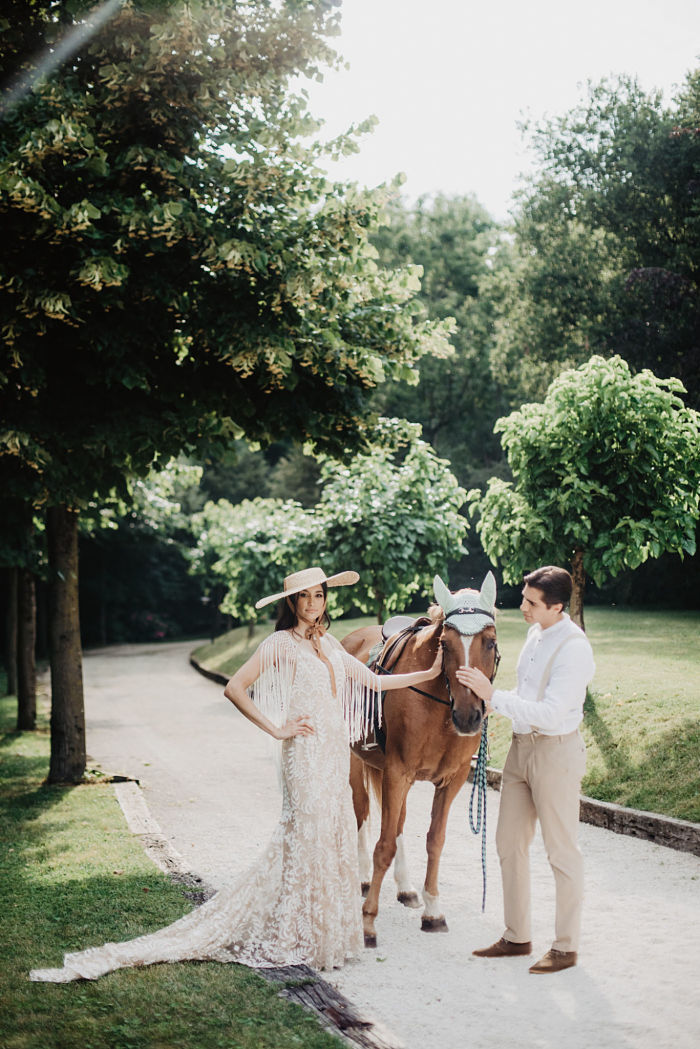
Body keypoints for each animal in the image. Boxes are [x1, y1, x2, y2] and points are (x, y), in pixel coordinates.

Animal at [340, 574, 497, 952]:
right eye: (446, 644)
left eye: (490, 642)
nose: (468, 716)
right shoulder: (398, 772)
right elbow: (383, 845)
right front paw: (368, 923)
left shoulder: (451, 779)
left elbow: (433, 840)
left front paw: (433, 910)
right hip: (355, 761)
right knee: (362, 811)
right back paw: (364, 878)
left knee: (396, 823)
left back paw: (405, 887)